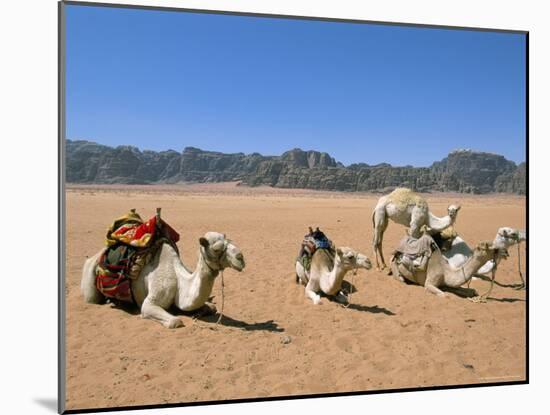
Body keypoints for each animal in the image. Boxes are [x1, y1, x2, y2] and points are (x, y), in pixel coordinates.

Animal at [82, 232, 246, 330]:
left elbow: (212, 307)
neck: (179, 281)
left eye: (229, 240)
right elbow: (175, 321)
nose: (240, 258)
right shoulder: (150, 302)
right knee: (91, 298)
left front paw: (197, 313)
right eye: (217, 249)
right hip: (90, 282)